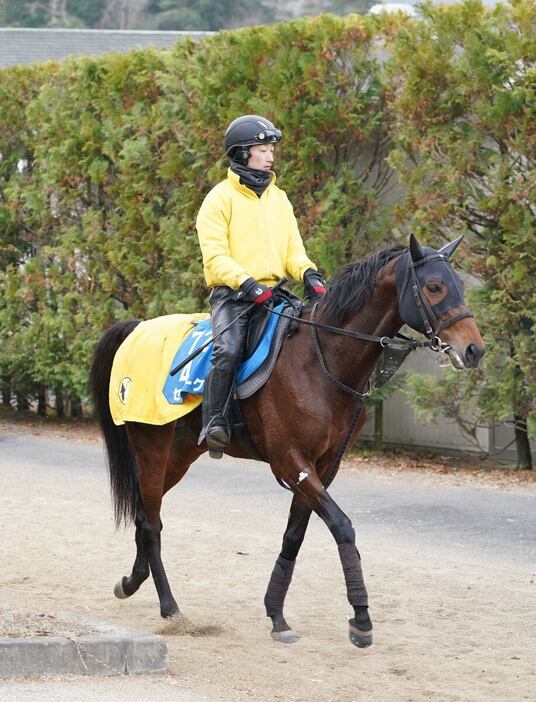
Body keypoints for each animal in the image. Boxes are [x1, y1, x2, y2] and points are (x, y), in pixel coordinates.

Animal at [90, 235, 484, 648]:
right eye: (434, 286)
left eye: (458, 283)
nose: (474, 349)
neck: (319, 359)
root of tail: (137, 329)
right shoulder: (291, 461)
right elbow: (342, 525)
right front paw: (361, 619)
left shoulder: (322, 467)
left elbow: (294, 536)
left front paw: (276, 614)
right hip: (151, 449)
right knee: (151, 524)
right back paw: (170, 607)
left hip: (179, 456)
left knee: (144, 516)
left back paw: (131, 582)